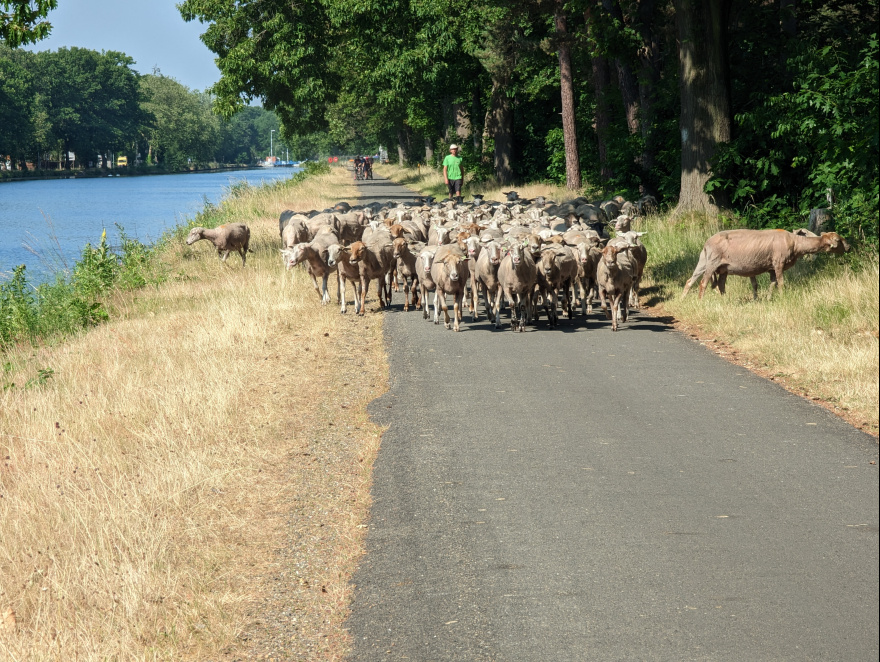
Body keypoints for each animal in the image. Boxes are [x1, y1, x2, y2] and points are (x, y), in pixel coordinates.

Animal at [680, 230, 852, 300]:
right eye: (839, 240)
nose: (849, 247)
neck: (796, 244)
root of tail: (706, 243)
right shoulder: (778, 262)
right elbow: (781, 283)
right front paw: (783, 297)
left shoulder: (771, 268)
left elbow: (772, 283)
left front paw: (769, 299)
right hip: (712, 262)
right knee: (703, 283)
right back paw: (700, 301)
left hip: (710, 263)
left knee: (694, 281)